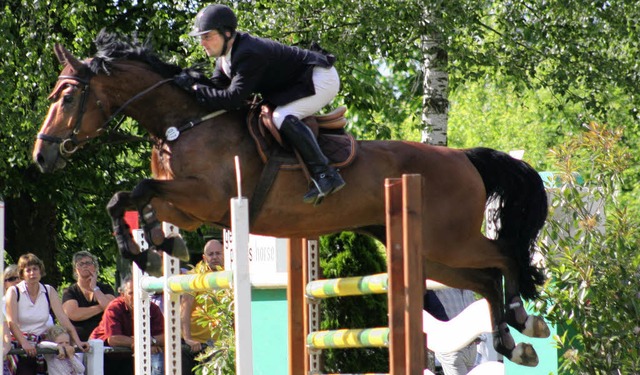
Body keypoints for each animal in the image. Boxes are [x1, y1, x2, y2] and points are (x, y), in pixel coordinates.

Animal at [31, 31, 552, 368]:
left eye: (67, 96)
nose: (42, 155)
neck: (186, 122)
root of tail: (462, 156)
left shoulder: (210, 197)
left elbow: (134, 191)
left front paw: (149, 247)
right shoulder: (190, 207)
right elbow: (128, 200)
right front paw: (156, 246)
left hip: (449, 237)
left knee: (504, 257)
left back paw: (524, 320)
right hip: (427, 249)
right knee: (483, 277)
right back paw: (513, 343)